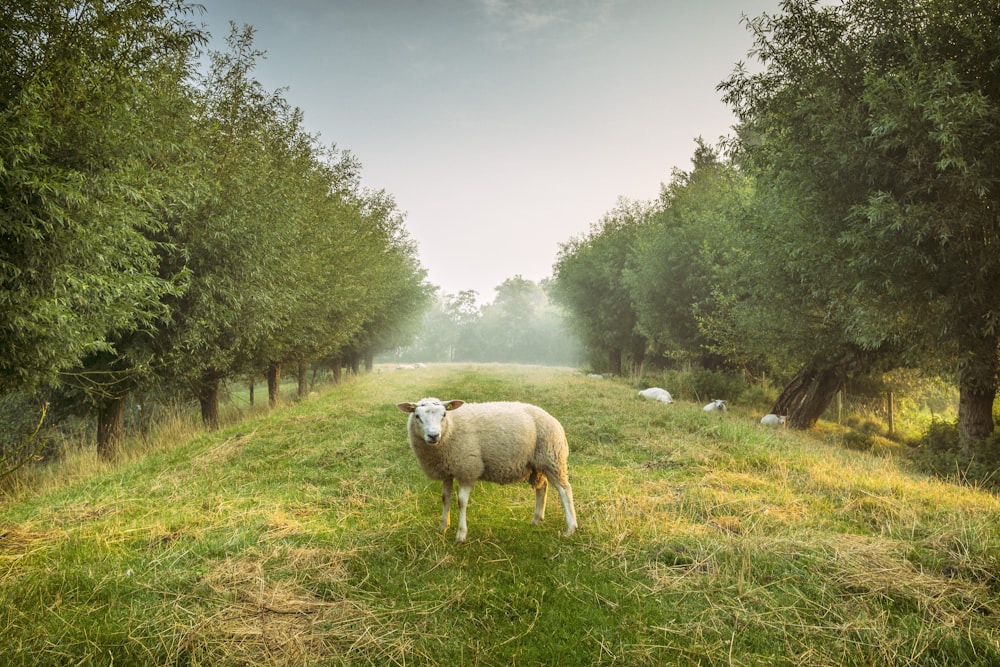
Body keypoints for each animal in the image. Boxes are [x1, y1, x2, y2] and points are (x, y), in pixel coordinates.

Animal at [394, 396, 576, 544]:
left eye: (444, 415)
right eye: (417, 416)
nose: (433, 436)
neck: (451, 428)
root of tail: (551, 418)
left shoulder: (467, 468)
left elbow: (461, 502)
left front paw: (461, 535)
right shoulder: (447, 470)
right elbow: (445, 498)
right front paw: (443, 527)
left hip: (552, 458)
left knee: (565, 490)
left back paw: (570, 528)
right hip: (536, 465)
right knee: (542, 487)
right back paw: (537, 519)